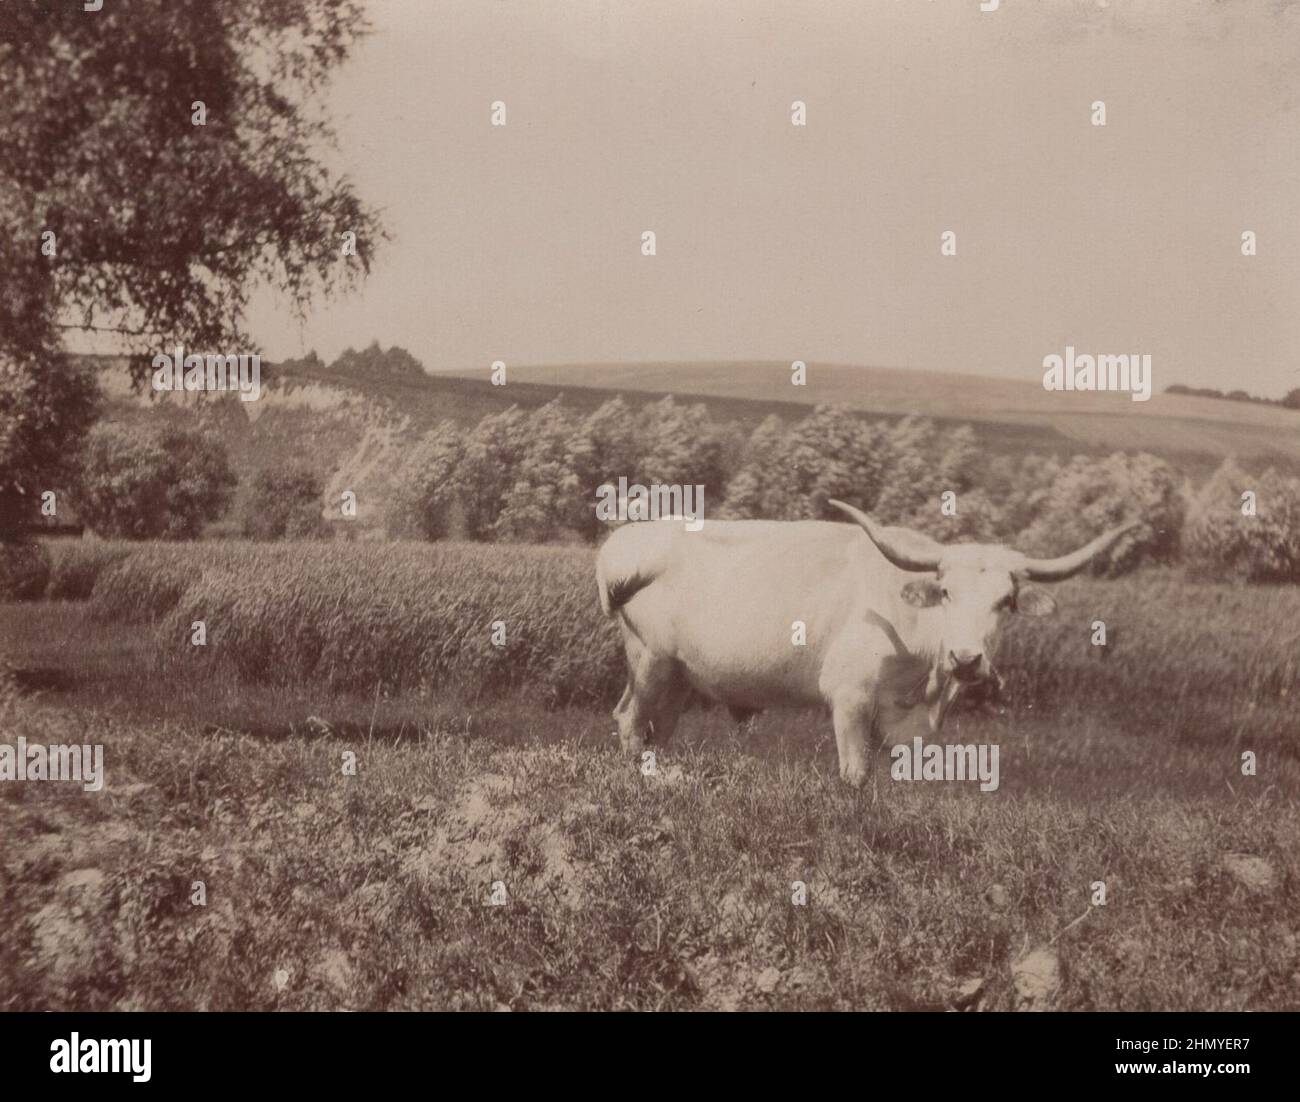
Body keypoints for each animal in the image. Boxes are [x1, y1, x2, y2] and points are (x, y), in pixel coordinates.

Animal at [598, 504, 1138, 790]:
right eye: (946, 592)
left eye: (1005, 601)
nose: (966, 659)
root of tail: (629, 542)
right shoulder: (850, 697)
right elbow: (855, 773)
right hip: (650, 661)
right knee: (629, 719)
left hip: (679, 675)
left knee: (659, 727)